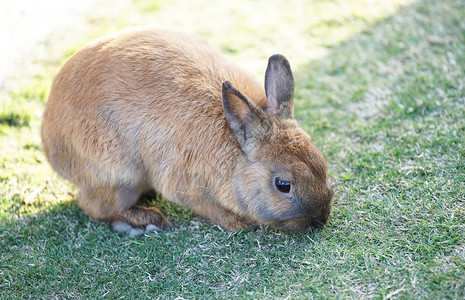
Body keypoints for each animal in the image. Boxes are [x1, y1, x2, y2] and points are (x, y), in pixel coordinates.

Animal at [41, 28, 332, 236]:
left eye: (321, 162)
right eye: (283, 185)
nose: (320, 220)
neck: (235, 148)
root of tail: (48, 136)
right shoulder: (186, 186)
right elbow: (208, 208)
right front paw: (239, 222)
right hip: (118, 175)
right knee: (95, 207)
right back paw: (144, 221)